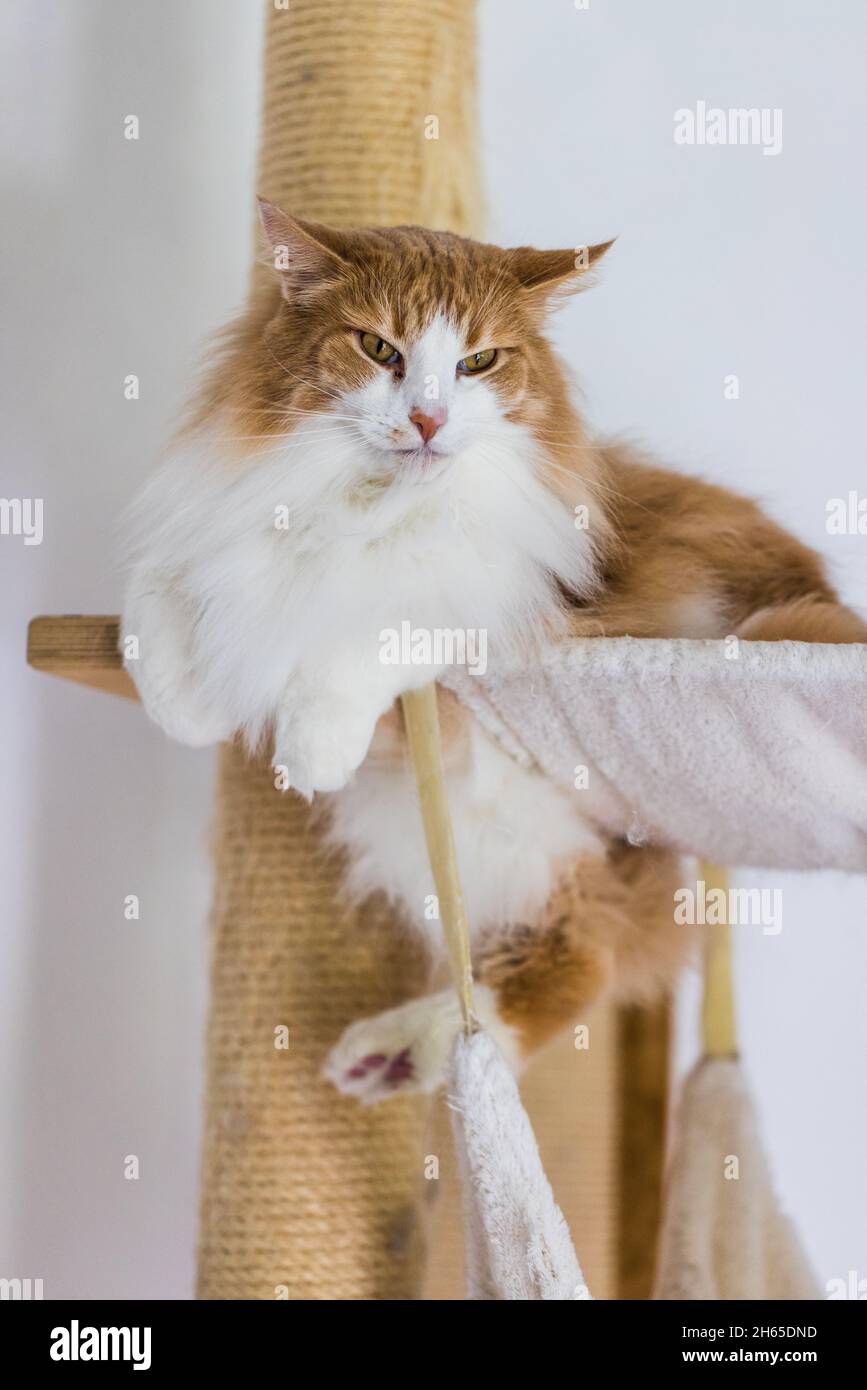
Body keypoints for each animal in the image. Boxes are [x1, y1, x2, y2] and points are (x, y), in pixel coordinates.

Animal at [122, 201, 867, 1100]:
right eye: (378, 348)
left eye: (478, 362)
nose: (428, 421)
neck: (363, 505)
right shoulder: (211, 545)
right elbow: (152, 609)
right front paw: (185, 704)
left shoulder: (515, 603)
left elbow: (373, 632)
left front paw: (312, 747)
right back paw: (396, 1055)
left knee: (585, 958)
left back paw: (419, 1051)